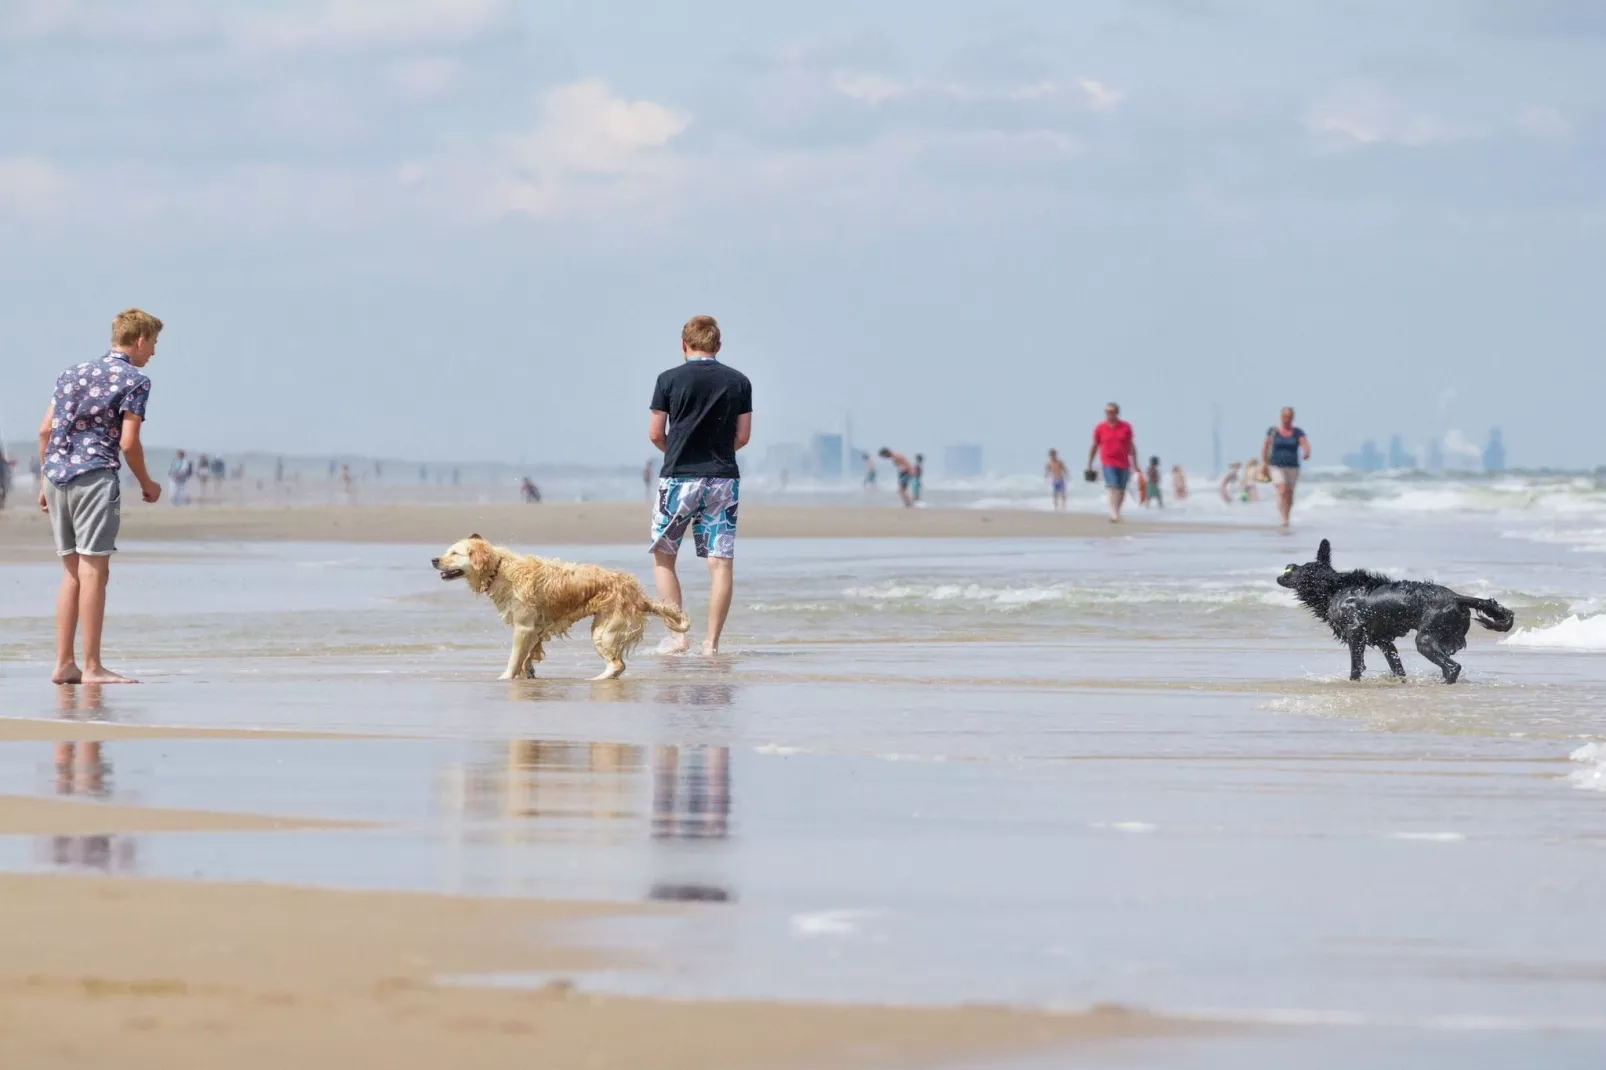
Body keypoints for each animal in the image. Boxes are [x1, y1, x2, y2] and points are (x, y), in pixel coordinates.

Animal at [1271, 536, 1509, 677]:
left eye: (1298, 569)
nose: (1287, 565)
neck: (1333, 588)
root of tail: (1457, 597)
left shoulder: (1355, 632)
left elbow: (1356, 666)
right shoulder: (1384, 640)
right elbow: (1397, 667)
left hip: (1425, 639)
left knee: (1452, 667)